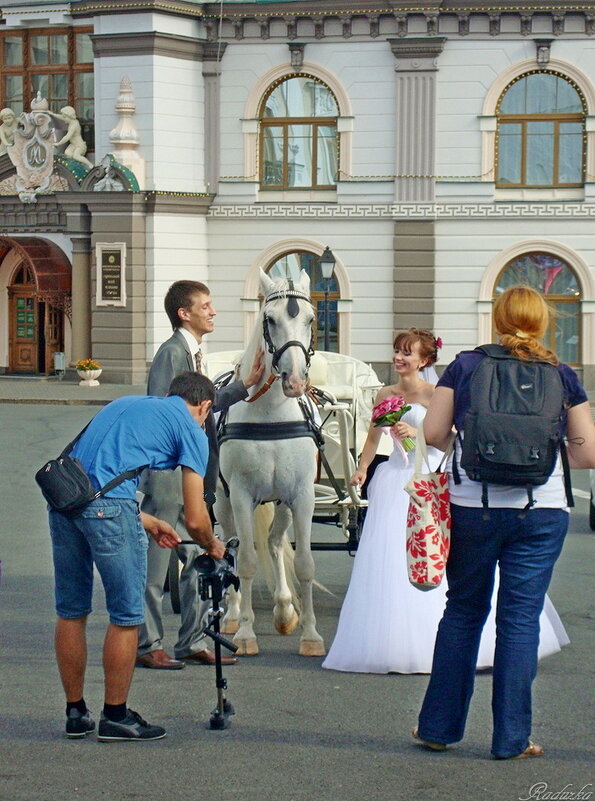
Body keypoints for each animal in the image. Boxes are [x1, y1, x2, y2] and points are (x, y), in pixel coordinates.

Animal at [214, 268, 326, 656]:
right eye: (269, 319)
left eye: (311, 319)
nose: (294, 380)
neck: (271, 413)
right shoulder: (241, 495)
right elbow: (246, 562)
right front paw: (246, 633)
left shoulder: (302, 495)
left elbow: (305, 563)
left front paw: (310, 634)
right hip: (222, 499)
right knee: (230, 549)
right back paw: (233, 615)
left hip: (281, 501)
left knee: (276, 543)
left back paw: (284, 608)